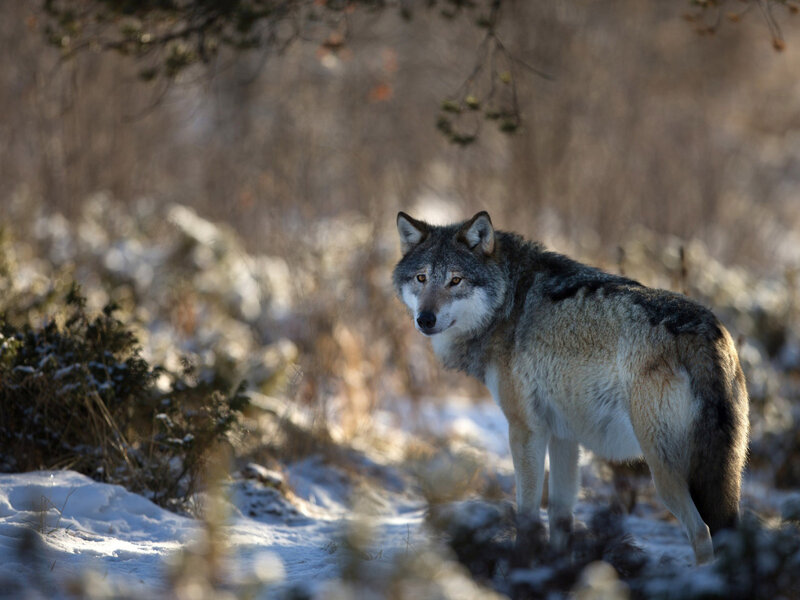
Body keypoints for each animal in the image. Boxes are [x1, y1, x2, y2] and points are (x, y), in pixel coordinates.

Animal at [393, 210, 749, 564]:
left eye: (456, 281)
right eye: (421, 279)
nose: (425, 319)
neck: (508, 300)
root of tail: (705, 333)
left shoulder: (525, 430)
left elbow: (528, 513)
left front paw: (523, 563)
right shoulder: (564, 435)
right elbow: (560, 516)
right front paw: (556, 566)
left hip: (663, 473)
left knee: (701, 532)